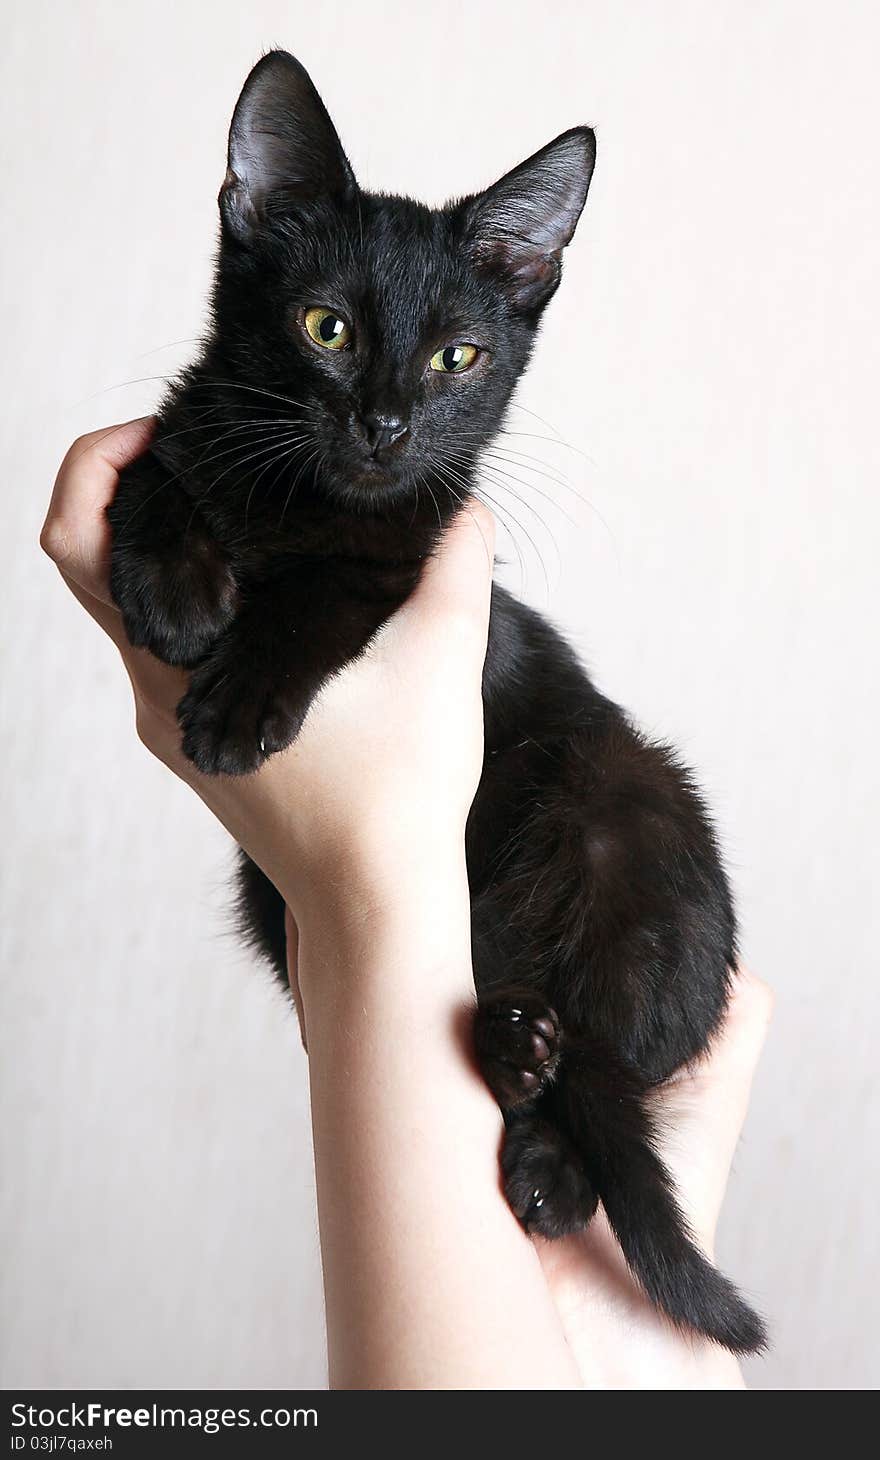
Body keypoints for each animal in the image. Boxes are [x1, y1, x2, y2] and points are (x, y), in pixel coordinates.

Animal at [108, 56, 764, 1354]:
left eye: (457, 356)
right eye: (326, 327)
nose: (386, 424)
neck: (296, 501)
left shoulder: (411, 552)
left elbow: (329, 590)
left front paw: (235, 697)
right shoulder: (186, 429)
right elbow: (160, 467)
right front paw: (173, 584)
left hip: (625, 809)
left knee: (605, 1075)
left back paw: (544, 1132)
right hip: (273, 900)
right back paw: (518, 1066)